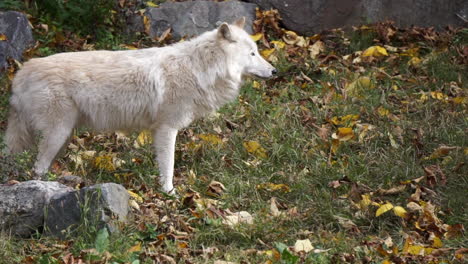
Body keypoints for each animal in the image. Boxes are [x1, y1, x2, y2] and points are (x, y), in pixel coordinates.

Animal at [3, 17, 276, 193]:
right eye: (252, 54)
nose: (275, 71)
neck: (199, 68)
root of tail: (22, 72)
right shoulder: (166, 129)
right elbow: (169, 166)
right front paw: (169, 194)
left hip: (63, 134)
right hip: (57, 133)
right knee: (37, 169)